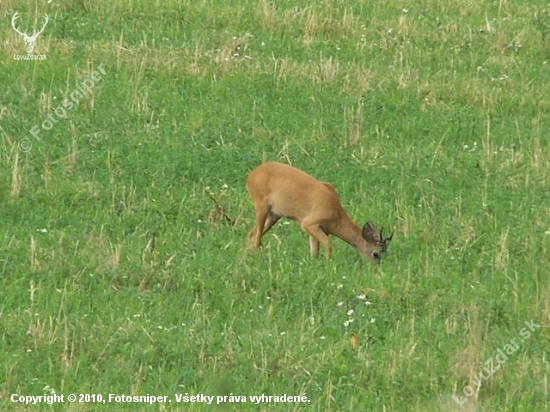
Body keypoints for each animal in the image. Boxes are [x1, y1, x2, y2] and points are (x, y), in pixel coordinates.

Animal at [246, 161, 392, 264]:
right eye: (375, 253)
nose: (377, 267)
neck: (335, 213)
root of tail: (251, 176)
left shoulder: (319, 229)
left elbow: (314, 251)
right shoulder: (309, 223)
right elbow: (328, 243)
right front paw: (328, 264)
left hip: (274, 215)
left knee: (252, 234)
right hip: (261, 205)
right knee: (257, 236)